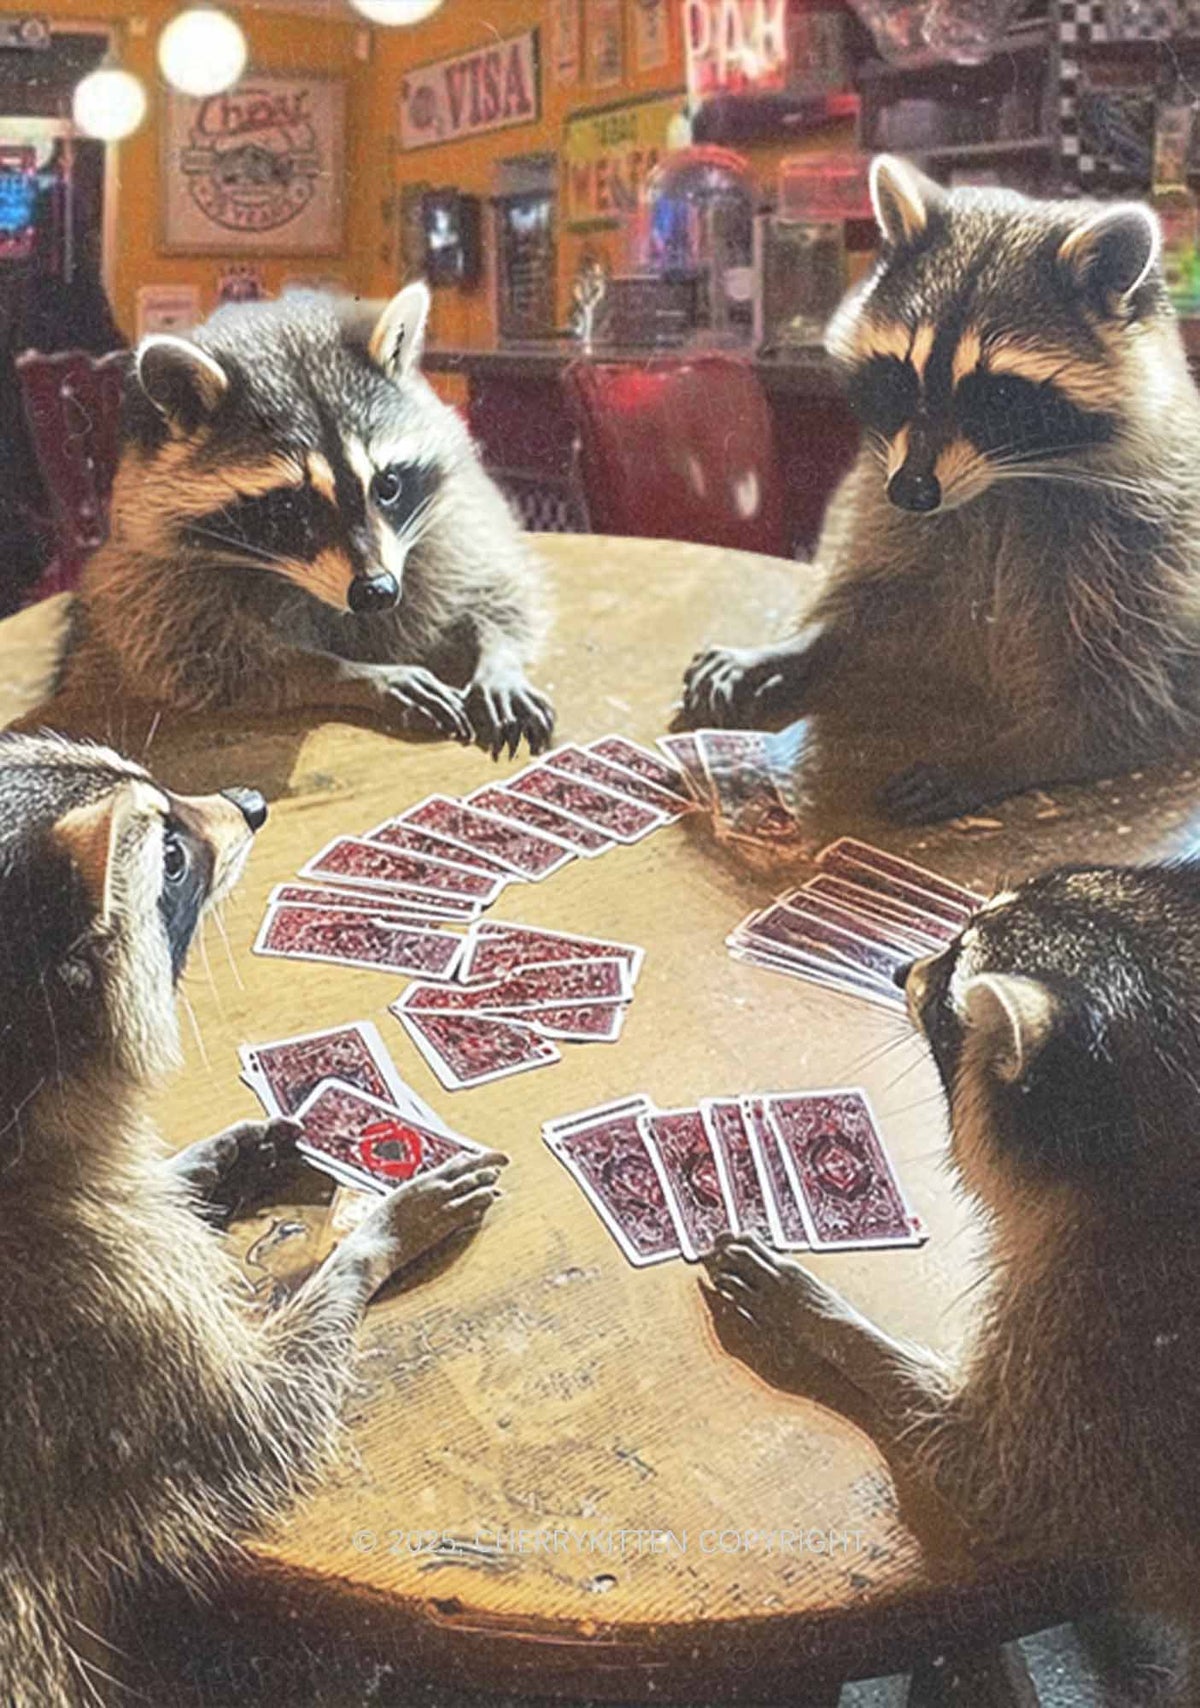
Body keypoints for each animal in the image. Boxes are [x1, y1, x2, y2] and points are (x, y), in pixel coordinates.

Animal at [0, 731, 506, 1707]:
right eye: (167, 856)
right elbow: (262, 1420)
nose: (251, 801)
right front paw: (377, 1234)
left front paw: (206, 1167)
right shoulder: (96, 1311)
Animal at [54, 285, 553, 760]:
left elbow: (496, 585)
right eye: (289, 510)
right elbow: (204, 660)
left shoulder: (450, 523)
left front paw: (498, 659)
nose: (377, 591)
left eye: (388, 485)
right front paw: (356, 672)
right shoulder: (148, 579)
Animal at [684, 157, 1200, 823]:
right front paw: (806, 643)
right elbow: (888, 592)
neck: (1001, 485)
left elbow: (1132, 694)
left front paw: (1012, 752)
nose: (912, 491)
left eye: (998, 397)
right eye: (900, 377)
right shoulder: (892, 495)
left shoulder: (1147, 542)